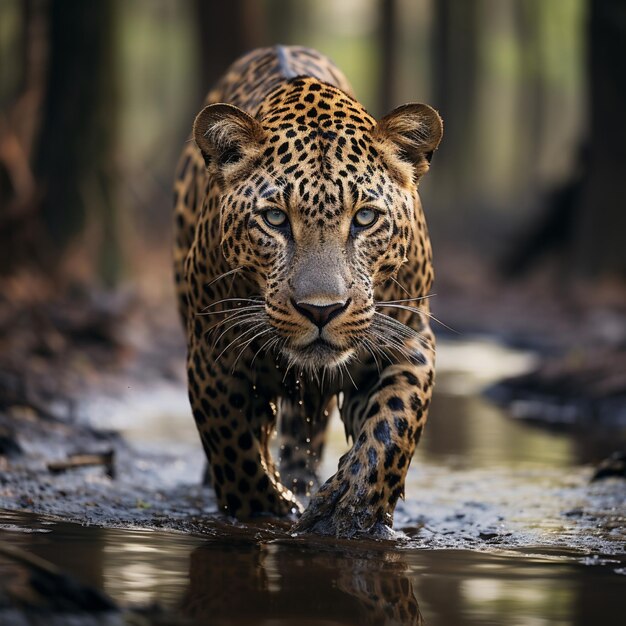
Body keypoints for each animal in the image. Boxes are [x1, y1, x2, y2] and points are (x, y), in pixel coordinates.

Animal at [173, 44, 442, 532]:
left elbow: (393, 425)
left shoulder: (408, 340)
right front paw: (267, 511)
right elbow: (234, 450)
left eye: (365, 218)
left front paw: (349, 507)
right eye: (275, 218)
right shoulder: (212, 353)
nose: (321, 310)